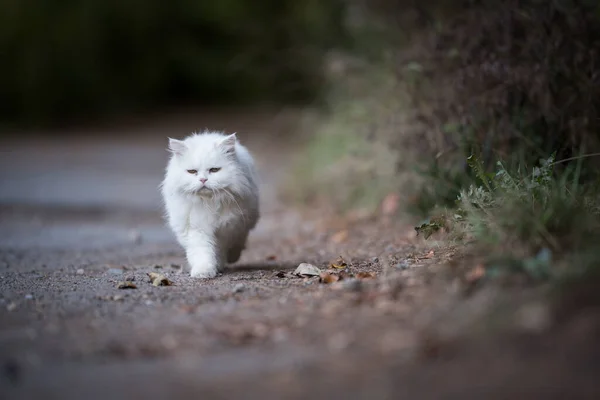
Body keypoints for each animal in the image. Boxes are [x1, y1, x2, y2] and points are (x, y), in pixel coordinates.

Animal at [159, 131, 260, 278]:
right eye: (192, 172)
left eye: (214, 170)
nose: (203, 180)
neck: (208, 202)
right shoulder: (196, 228)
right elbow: (202, 252)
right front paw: (204, 272)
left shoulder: (227, 228)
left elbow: (220, 249)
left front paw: (218, 264)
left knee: (239, 241)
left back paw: (232, 257)